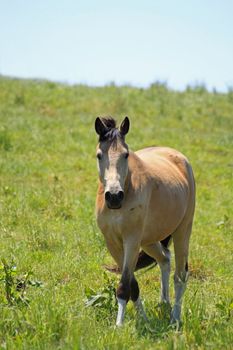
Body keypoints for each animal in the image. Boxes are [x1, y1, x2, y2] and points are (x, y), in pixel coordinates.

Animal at [94, 116, 195, 326]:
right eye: (99, 155)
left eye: (126, 155)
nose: (113, 196)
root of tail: (178, 157)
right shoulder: (113, 243)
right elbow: (132, 285)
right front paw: (144, 320)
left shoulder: (131, 241)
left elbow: (124, 286)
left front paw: (119, 325)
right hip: (149, 240)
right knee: (165, 259)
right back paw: (164, 303)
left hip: (182, 231)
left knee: (180, 276)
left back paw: (174, 319)